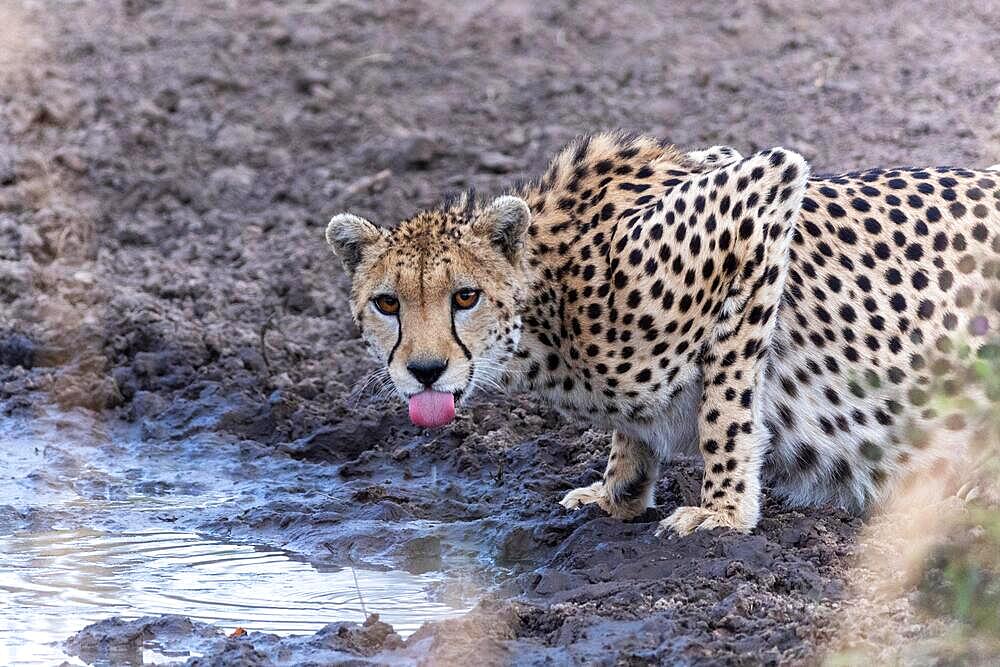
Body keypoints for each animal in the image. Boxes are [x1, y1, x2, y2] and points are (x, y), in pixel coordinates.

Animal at [328, 133, 1000, 536]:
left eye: (465, 297)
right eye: (387, 303)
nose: (425, 371)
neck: (549, 302)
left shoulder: (760, 196)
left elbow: (726, 405)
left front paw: (723, 510)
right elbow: (633, 428)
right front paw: (616, 491)